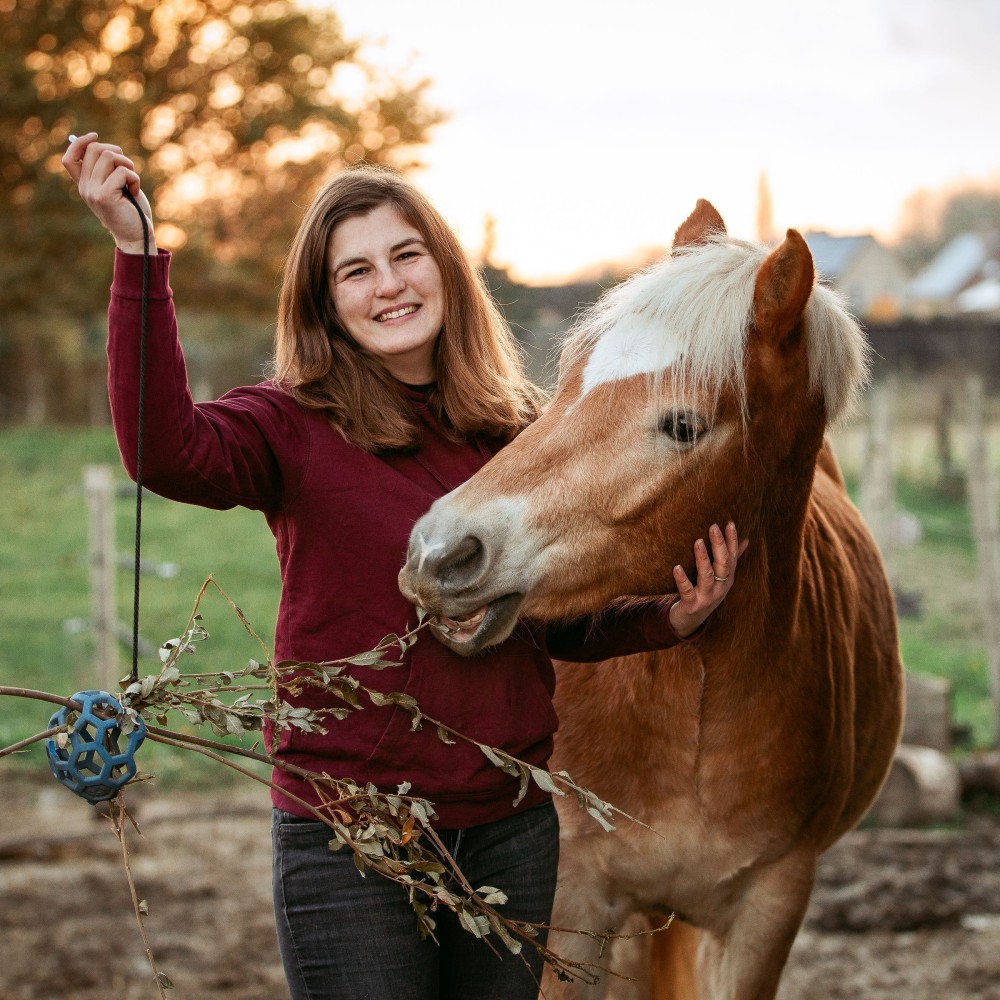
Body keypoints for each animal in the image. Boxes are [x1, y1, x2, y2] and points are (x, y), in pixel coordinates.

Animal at [398, 200, 904, 999]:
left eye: (683, 425)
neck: (695, 704)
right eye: (568, 383)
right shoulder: (577, 900)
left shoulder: (767, 915)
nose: (442, 552)